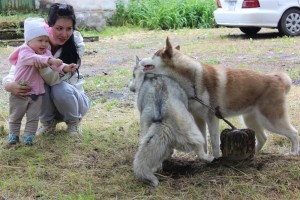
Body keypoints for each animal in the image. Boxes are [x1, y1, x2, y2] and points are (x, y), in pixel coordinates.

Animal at [129, 57, 211, 187]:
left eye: (133, 74)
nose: (130, 87)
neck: (152, 75)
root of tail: (161, 118)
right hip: (192, 133)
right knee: (199, 151)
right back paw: (209, 158)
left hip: (146, 134)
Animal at [139, 36, 298, 158]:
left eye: (153, 55)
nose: (140, 60)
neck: (192, 81)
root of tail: (277, 78)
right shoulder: (199, 118)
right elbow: (203, 141)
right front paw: (202, 158)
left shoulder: (212, 118)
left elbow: (215, 143)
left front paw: (216, 158)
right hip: (251, 120)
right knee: (263, 138)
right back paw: (253, 154)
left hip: (271, 121)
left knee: (294, 133)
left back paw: (294, 153)